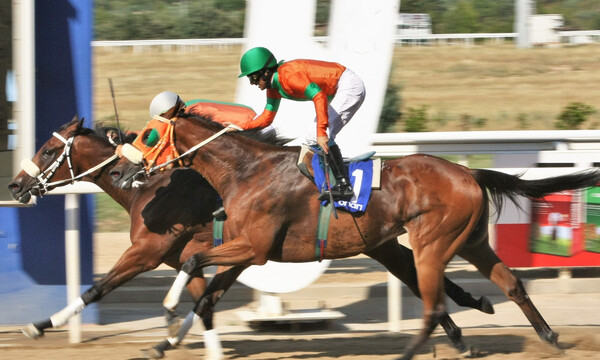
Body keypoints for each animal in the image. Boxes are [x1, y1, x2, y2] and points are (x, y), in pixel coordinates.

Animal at [7, 118, 490, 360]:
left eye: (48, 151)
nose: (15, 186)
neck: (152, 188)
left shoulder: (148, 251)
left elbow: (99, 288)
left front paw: (38, 325)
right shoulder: (203, 256)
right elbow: (204, 303)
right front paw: (178, 341)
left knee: (423, 280)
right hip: (380, 242)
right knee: (420, 280)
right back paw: (464, 326)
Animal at [111, 113, 600, 360]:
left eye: (149, 134)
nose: (119, 172)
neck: (246, 171)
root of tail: (468, 172)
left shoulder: (254, 247)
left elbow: (194, 264)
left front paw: (168, 309)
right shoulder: (246, 252)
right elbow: (207, 293)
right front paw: (164, 342)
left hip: (431, 244)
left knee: (433, 304)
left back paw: (410, 353)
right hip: (471, 240)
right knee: (510, 283)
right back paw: (548, 337)